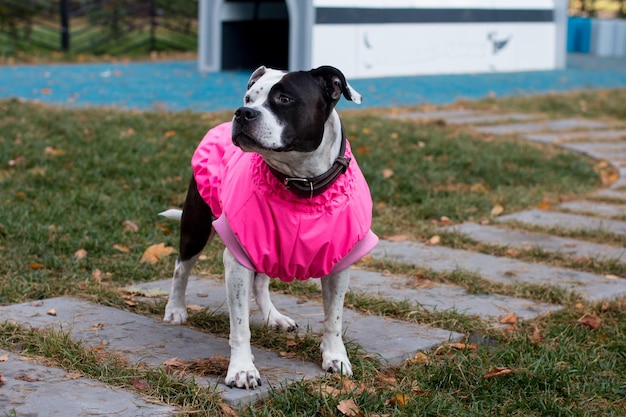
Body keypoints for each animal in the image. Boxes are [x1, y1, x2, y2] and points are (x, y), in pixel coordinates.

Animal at [160, 65, 376, 386]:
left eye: (284, 99)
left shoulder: (339, 265)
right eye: (248, 98)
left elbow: (334, 318)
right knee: (181, 269)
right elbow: (240, 325)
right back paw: (175, 309)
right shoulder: (237, 260)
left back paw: (274, 317)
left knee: (261, 282)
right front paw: (242, 369)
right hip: (196, 228)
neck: (301, 184)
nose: (242, 112)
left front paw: (335, 357)